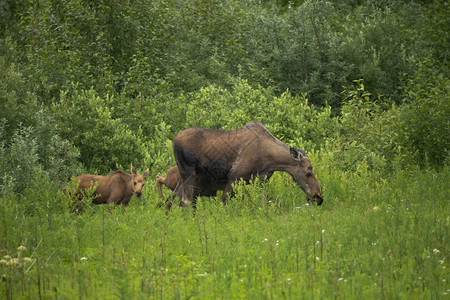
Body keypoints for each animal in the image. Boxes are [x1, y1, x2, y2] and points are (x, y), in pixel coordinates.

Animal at [172, 121, 324, 206]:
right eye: (308, 173)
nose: (319, 197)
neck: (271, 161)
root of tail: (174, 140)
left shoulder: (262, 180)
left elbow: (263, 202)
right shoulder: (234, 177)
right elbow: (223, 202)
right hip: (187, 171)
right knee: (186, 200)